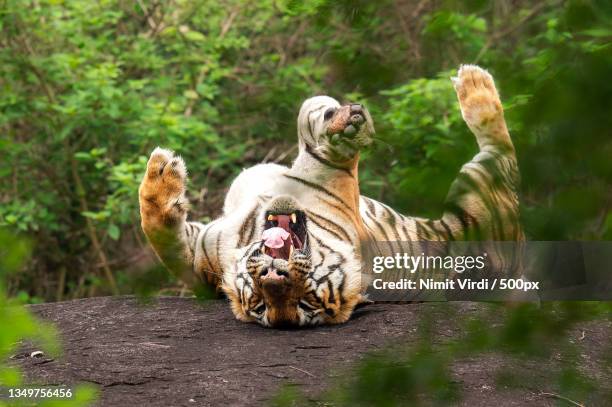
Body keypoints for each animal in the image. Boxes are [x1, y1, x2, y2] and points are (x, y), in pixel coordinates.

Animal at [141, 65, 524, 330]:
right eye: (260, 304)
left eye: (308, 299)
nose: (274, 278)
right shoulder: (200, 256)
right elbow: (160, 235)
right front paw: (161, 173)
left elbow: (324, 132)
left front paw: (346, 121)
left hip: (479, 189)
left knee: (501, 145)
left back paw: (475, 83)